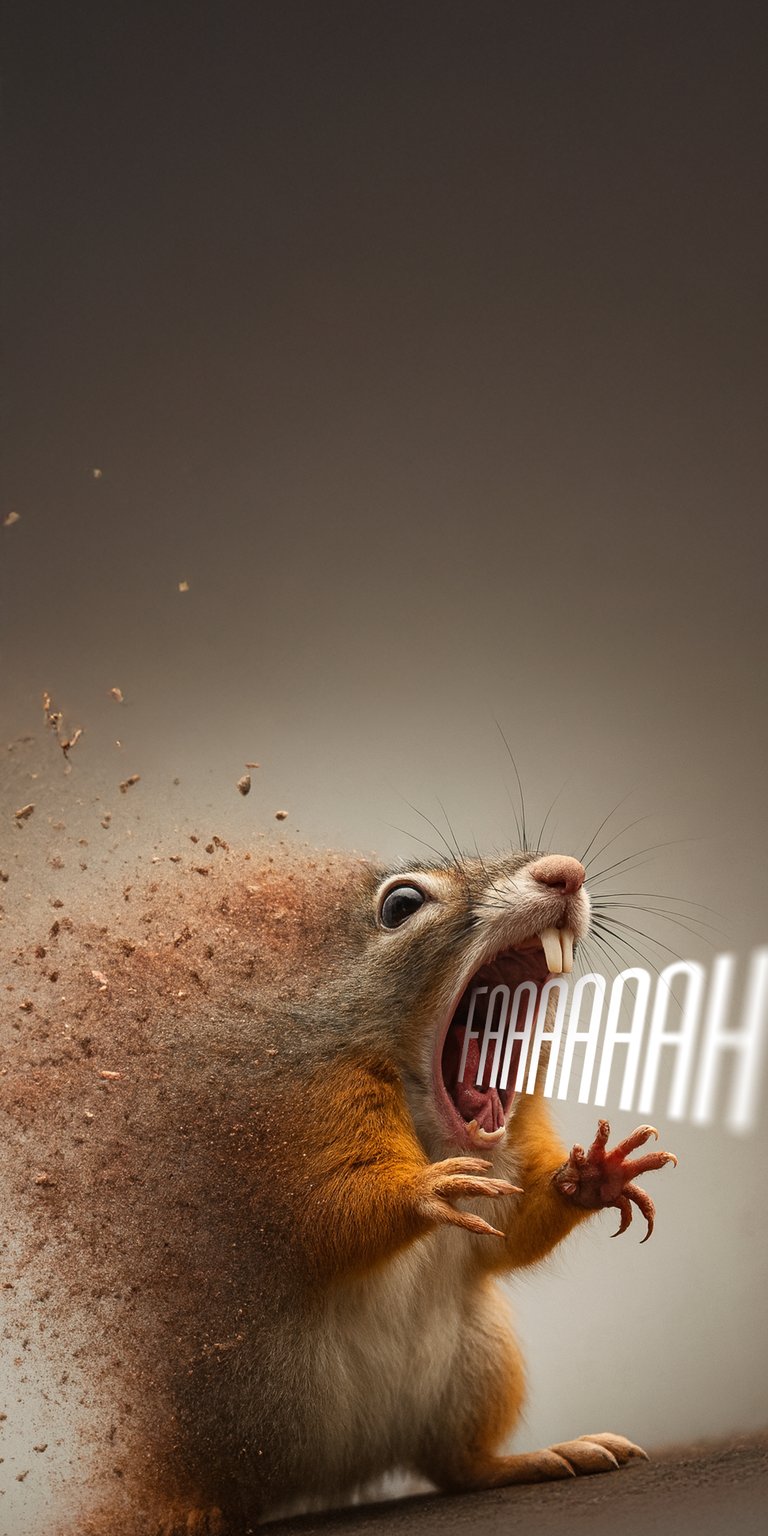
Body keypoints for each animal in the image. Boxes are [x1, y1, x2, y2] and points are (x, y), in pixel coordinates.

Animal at [0, 841, 677, 1536]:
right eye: (401, 905)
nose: (565, 871)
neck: (441, 1134)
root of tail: (335, 1475)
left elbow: (509, 1234)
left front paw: (594, 1176)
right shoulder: (301, 1111)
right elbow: (319, 1217)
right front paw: (419, 1191)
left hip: (478, 1369)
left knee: (456, 1465)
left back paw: (535, 1458)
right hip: (221, 1415)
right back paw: (185, 1514)